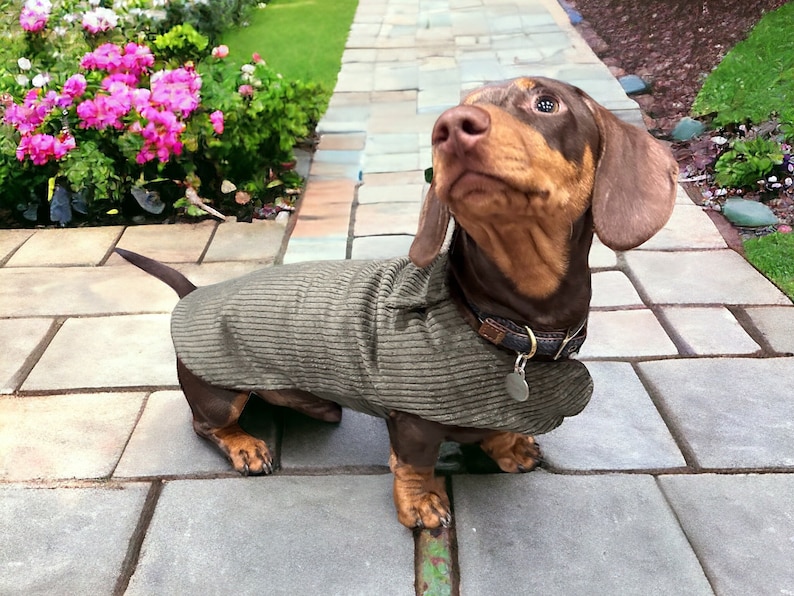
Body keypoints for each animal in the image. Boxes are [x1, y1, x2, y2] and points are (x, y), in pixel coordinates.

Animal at [117, 77, 676, 528]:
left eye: (546, 103)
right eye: (459, 107)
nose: (449, 127)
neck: (507, 323)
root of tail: (195, 293)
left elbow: (497, 429)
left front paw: (509, 447)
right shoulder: (413, 418)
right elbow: (413, 464)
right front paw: (421, 505)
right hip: (219, 390)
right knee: (207, 422)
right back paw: (245, 445)